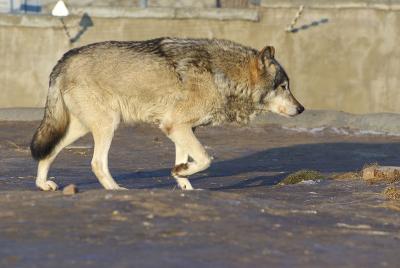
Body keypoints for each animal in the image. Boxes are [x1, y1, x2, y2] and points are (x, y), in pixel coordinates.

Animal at [29, 37, 304, 192]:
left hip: (81, 127)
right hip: (108, 125)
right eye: (283, 87)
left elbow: (188, 161)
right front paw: (182, 172)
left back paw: (43, 184)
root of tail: (63, 60)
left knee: (48, 152)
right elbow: (206, 159)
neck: (222, 75)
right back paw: (116, 189)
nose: (301, 109)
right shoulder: (175, 126)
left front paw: (183, 180)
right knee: (97, 163)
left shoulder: (183, 129)